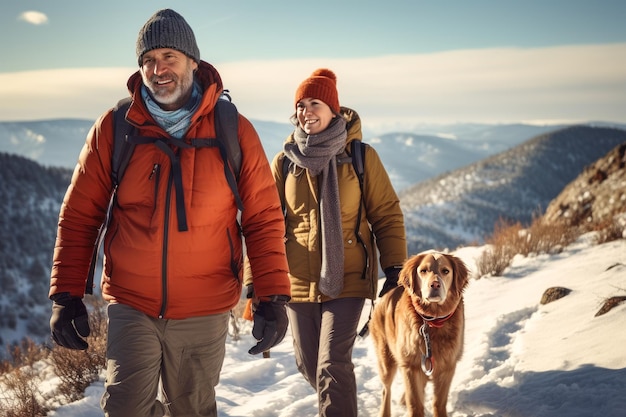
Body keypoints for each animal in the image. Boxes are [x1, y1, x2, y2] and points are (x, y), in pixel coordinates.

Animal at [368, 250, 466, 416]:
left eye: (445, 271)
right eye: (423, 271)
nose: (435, 284)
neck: (432, 320)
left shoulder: (447, 365)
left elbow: (439, 402)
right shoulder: (410, 365)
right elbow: (415, 403)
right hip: (386, 359)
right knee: (386, 390)